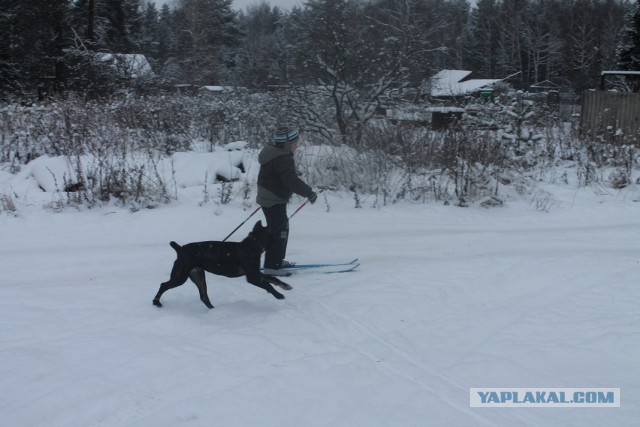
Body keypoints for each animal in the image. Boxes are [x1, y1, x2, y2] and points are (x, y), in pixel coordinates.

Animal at [155, 222, 292, 310]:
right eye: (273, 233)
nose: (281, 239)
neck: (252, 245)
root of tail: (180, 249)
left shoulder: (256, 272)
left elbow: (272, 278)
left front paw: (285, 285)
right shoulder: (252, 277)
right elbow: (268, 284)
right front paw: (278, 295)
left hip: (198, 276)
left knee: (203, 296)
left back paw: (213, 310)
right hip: (180, 276)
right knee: (163, 285)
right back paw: (156, 303)